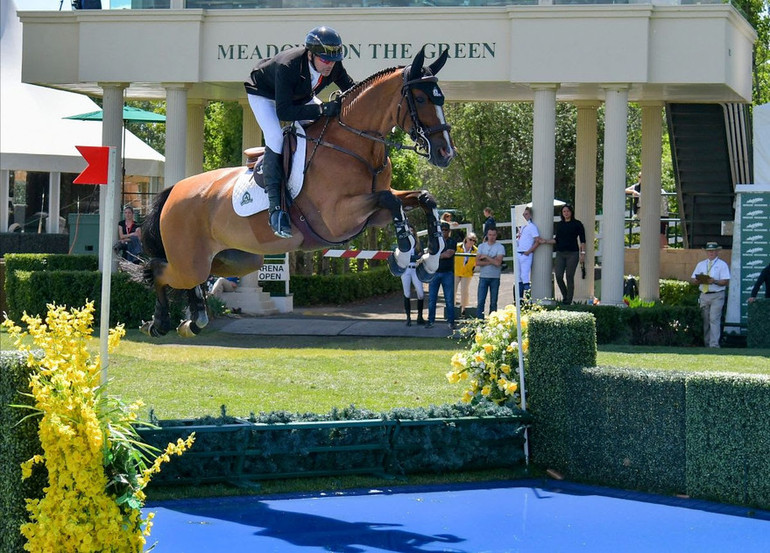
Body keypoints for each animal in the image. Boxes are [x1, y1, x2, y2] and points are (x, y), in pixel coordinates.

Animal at [141, 46, 452, 336]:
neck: (355, 145)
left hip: (236, 260)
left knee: (191, 277)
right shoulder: (338, 218)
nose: (446, 153)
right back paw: (159, 322)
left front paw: (428, 262)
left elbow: (423, 199)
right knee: (159, 269)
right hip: (192, 261)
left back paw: (194, 319)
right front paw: (402, 258)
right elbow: (392, 202)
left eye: (441, 98)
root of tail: (175, 189)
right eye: (421, 98)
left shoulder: (372, 215)